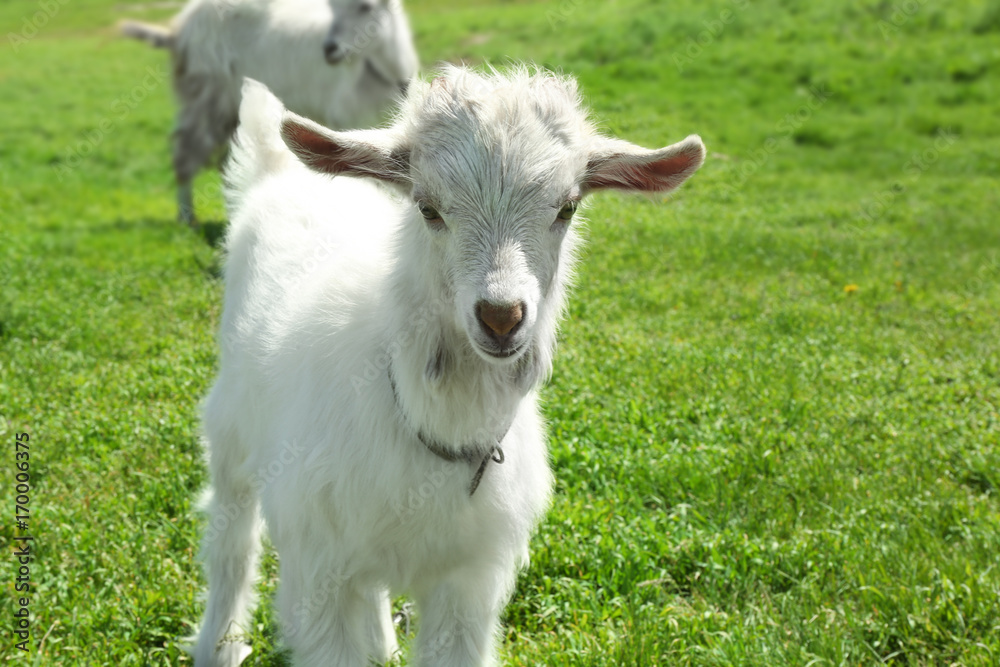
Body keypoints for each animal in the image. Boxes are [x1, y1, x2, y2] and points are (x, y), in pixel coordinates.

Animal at [121, 0, 418, 224]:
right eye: (332, 6)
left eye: (366, 6)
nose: (330, 50)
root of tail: (179, 30)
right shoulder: (345, 119)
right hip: (206, 94)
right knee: (187, 149)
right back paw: (187, 218)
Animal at [194, 66, 705, 666]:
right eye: (428, 207)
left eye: (567, 207)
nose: (502, 317)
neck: (431, 424)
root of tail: (278, 175)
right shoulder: (319, 573)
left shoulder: (467, 582)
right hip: (231, 431)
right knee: (231, 540)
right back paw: (219, 645)